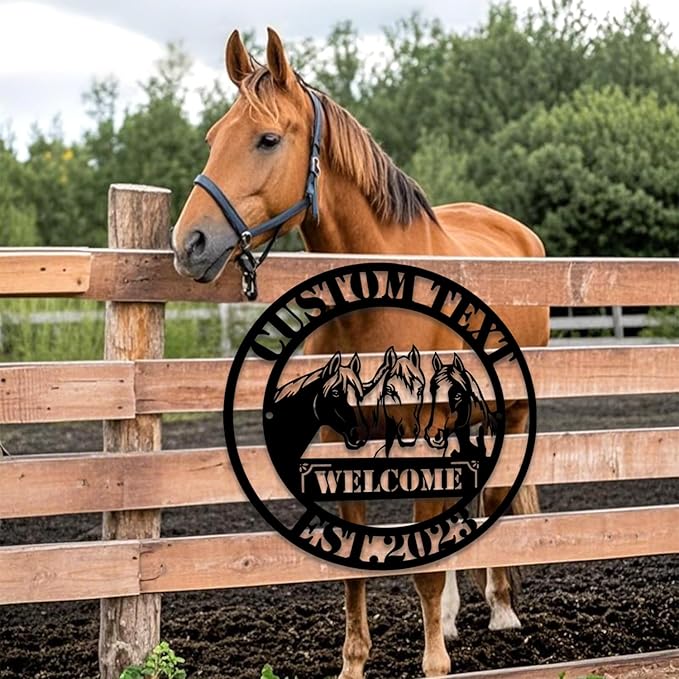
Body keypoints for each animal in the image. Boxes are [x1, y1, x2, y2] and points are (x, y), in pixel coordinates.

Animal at [171, 28, 549, 678]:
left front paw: (435, 663)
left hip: (513, 415)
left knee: (495, 497)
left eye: (267, 139)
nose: (188, 243)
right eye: (214, 138)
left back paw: (501, 609)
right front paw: (354, 663)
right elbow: (352, 568)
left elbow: (425, 568)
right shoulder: (333, 442)